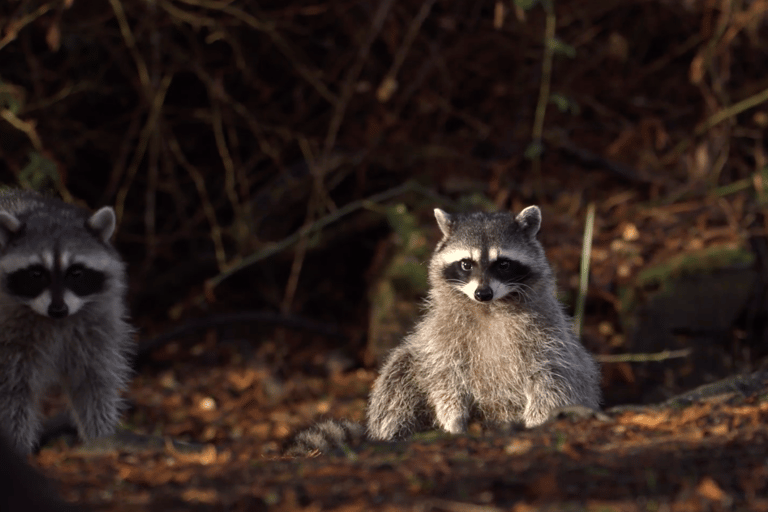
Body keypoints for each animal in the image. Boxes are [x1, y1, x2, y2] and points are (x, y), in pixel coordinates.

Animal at [0, 190, 134, 454]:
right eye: (36, 274)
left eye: (76, 272)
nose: (58, 309)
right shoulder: (9, 336)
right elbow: (13, 393)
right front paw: (17, 448)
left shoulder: (96, 325)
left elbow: (94, 383)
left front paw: (101, 440)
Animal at [364, 205, 600, 440]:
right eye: (466, 264)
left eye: (503, 264)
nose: (483, 293)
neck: (489, 308)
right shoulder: (441, 334)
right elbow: (444, 375)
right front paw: (452, 417)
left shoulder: (548, 330)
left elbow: (553, 376)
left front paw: (539, 419)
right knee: (399, 374)